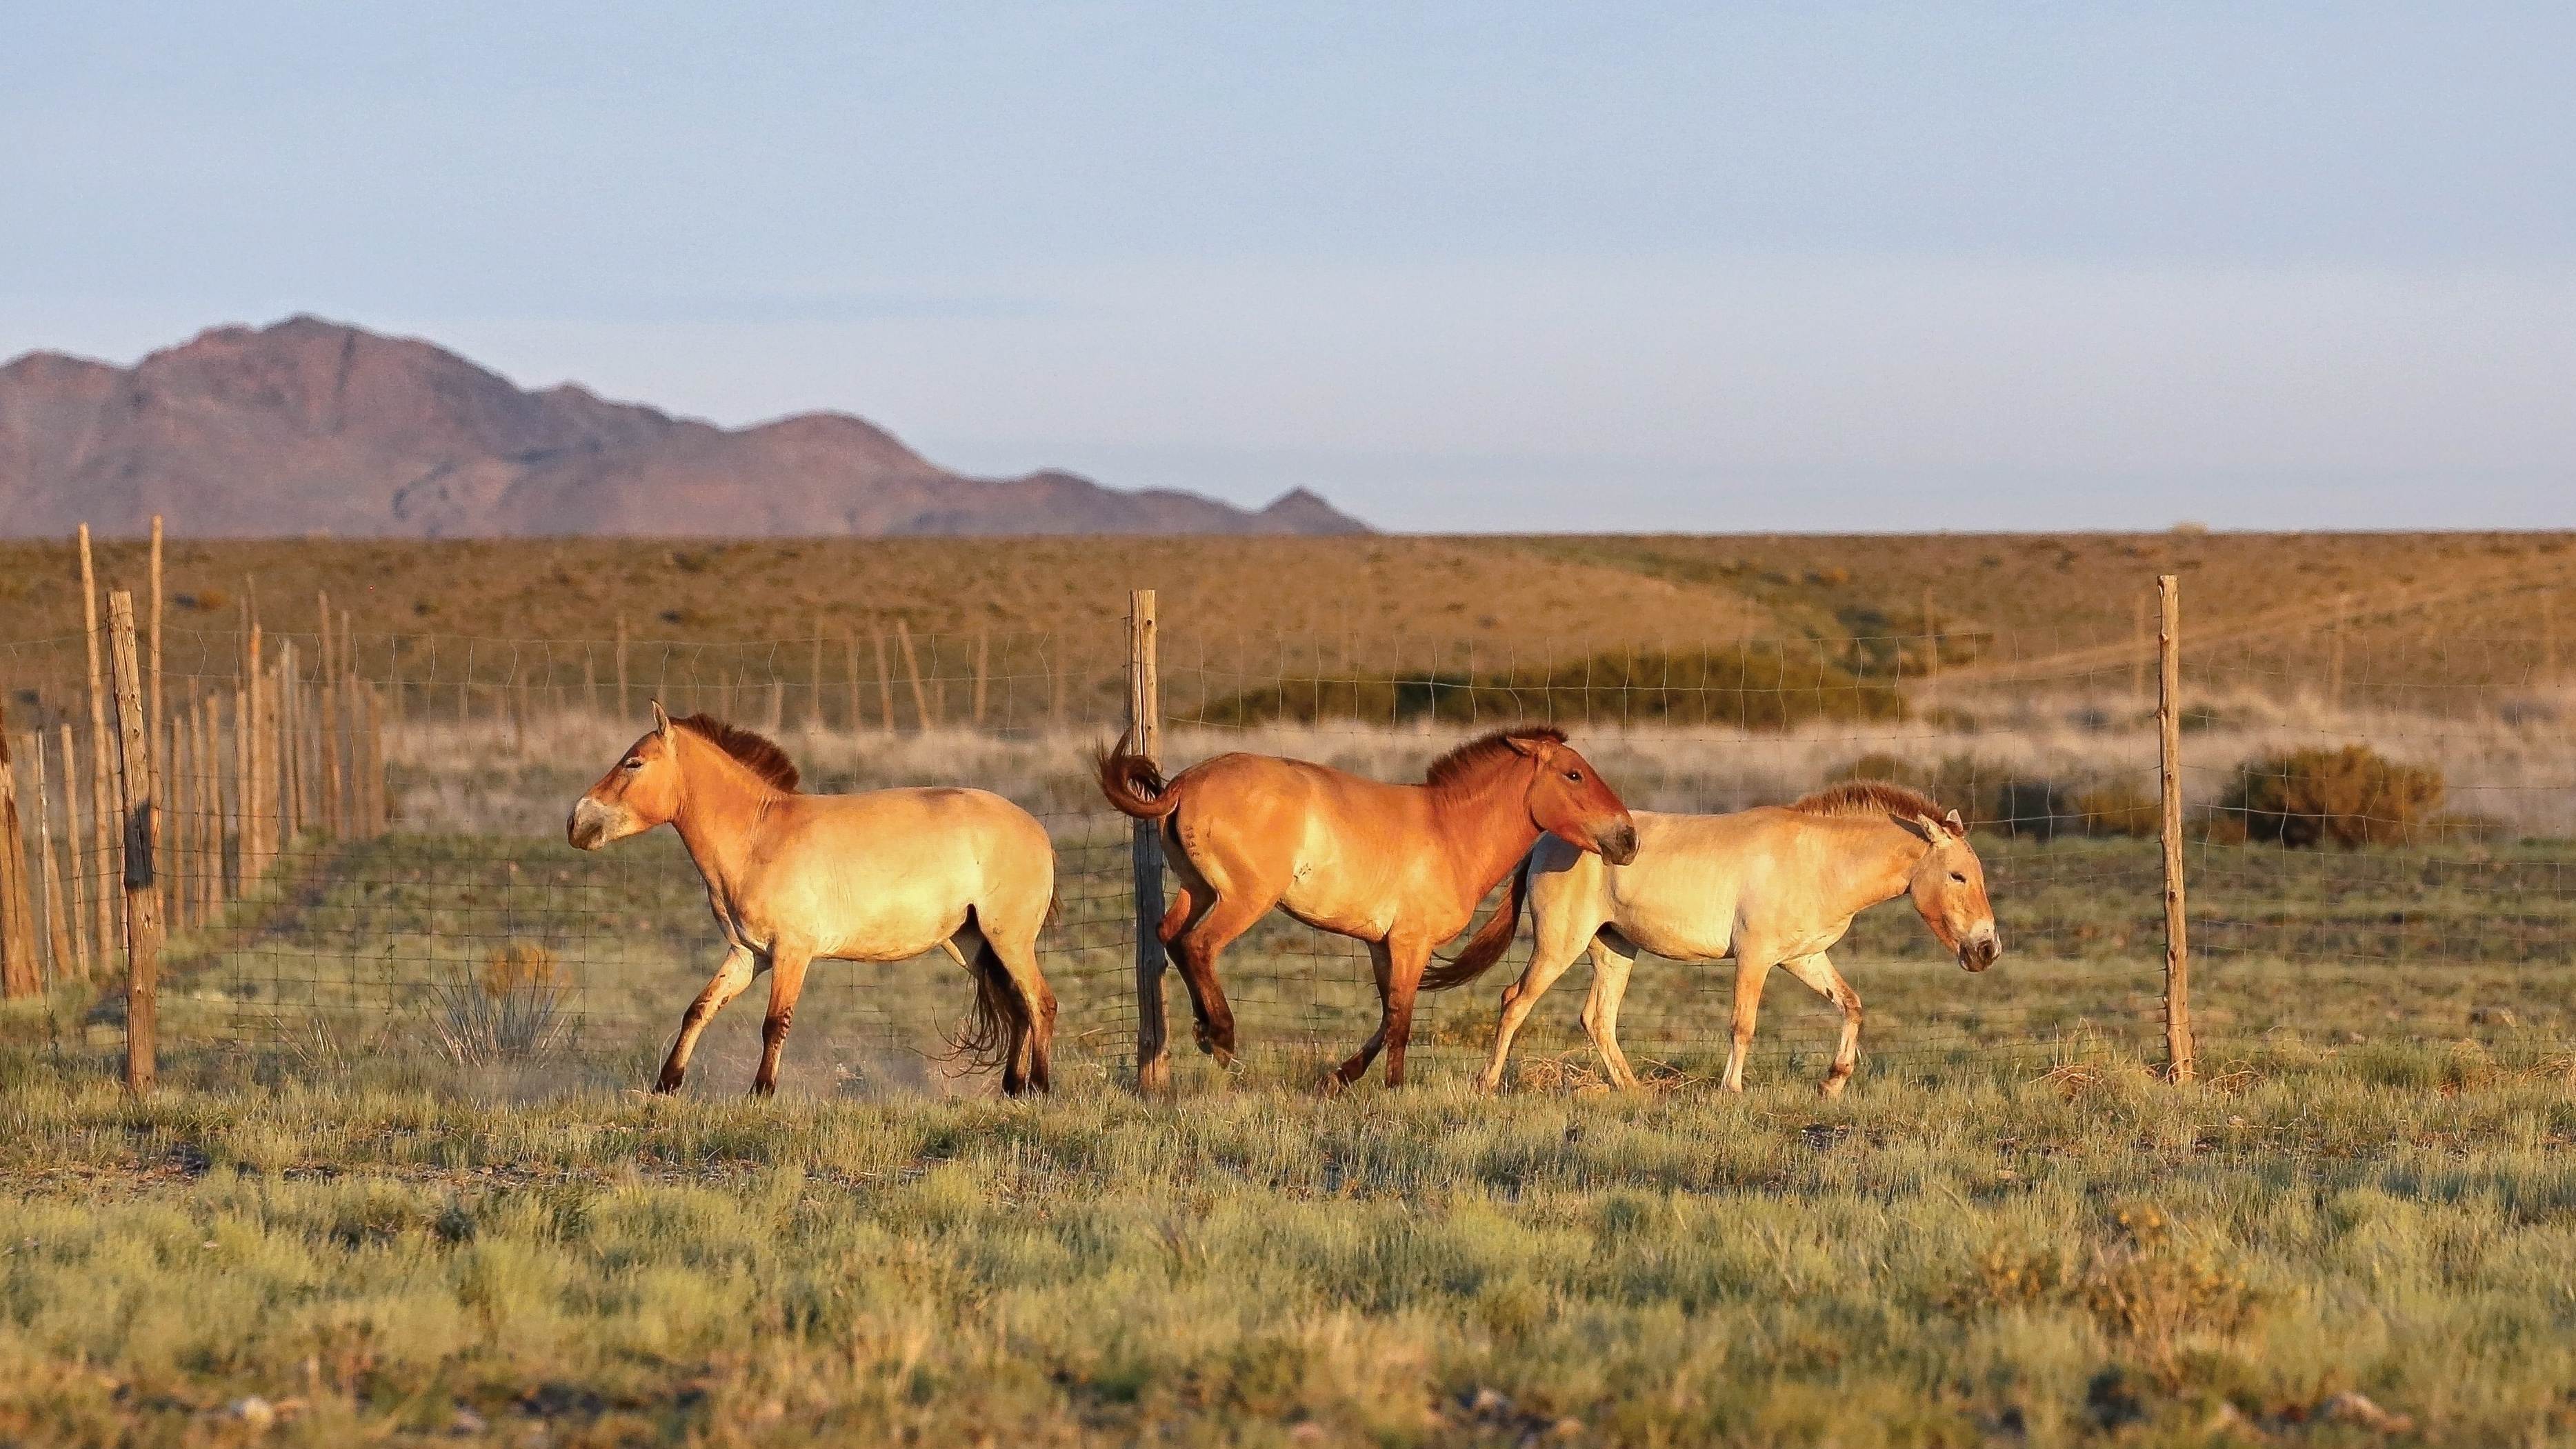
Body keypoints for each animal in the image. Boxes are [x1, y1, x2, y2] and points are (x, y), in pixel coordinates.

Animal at [572, 705, 1056, 1101]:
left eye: (633, 763)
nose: (575, 822)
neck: (758, 836)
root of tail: (1036, 829)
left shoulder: (792, 953)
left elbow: (774, 1022)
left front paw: (761, 1092)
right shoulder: (747, 955)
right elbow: (699, 1009)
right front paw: (667, 1085)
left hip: (1008, 940)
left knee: (1040, 1003)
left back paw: (1039, 1087)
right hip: (971, 945)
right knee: (1017, 1007)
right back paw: (1012, 1088)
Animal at [1097, 726, 1638, 1091]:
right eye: (1573, 774)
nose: (1628, 839)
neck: (1450, 831)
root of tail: (1184, 785)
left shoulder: (1382, 946)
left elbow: (1386, 1015)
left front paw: (1342, 1076)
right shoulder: (1411, 943)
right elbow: (1401, 1020)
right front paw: (1394, 1087)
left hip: (1199, 891)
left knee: (1169, 937)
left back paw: (1202, 1030)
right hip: (1242, 900)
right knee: (1198, 945)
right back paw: (1222, 1038)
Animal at [1432, 787, 2009, 1096]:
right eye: (1958, 876)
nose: (1987, 949)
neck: (1818, 860)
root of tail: (1546, 839)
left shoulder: (1803, 957)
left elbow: (1851, 1005)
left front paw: (1832, 1082)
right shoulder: (1754, 957)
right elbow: (1742, 1024)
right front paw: (1731, 1090)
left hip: (1613, 948)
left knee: (1597, 1018)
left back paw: (1635, 1092)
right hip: (1559, 944)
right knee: (1515, 1001)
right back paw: (1486, 1086)